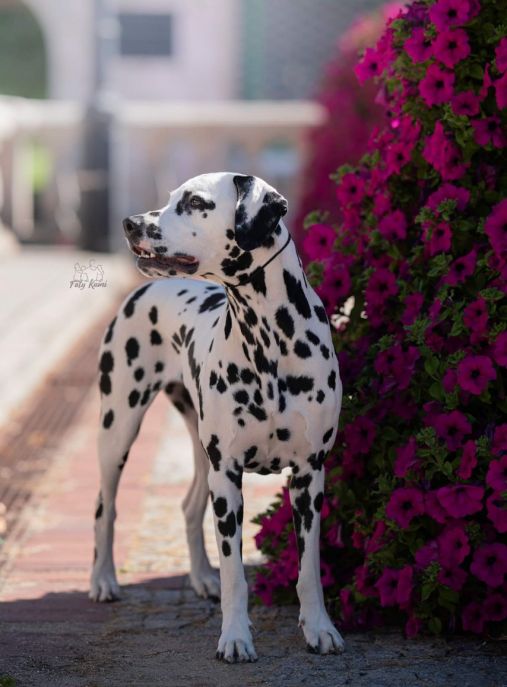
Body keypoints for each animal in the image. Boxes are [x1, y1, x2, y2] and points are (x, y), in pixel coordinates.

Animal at [90, 171, 346, 660]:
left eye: (194, 202)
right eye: (172, 197)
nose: (131, 224)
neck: (269, 342)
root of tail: (147, 288)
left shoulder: (309, 477)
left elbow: (309, 569)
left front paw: (319, 629)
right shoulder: (227, 477)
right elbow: (236, 576)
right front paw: (235, 637)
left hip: (197, 450)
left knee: (189, 506)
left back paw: (201, 578)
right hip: (117, 432)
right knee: (105, 508)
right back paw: (103, 580)